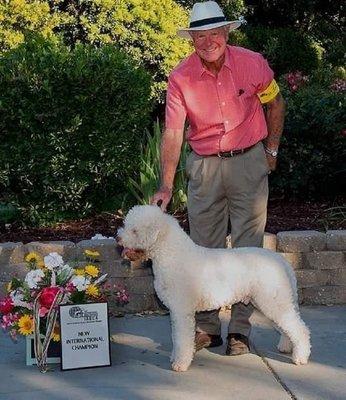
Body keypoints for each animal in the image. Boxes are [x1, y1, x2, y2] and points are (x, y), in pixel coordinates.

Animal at [117, 206, 310, 372]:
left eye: (134, 230)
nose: (118, 238)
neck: (172, 255)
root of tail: (281, 260)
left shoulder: (182, 310)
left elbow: (182, 339)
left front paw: (180, 364)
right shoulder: (175, 311)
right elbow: (176, 337)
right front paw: (174, 357)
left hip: (272, 300)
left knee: (299, 329)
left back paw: (300, 357)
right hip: (273, 300)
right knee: (287, 326)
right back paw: (286, 347)